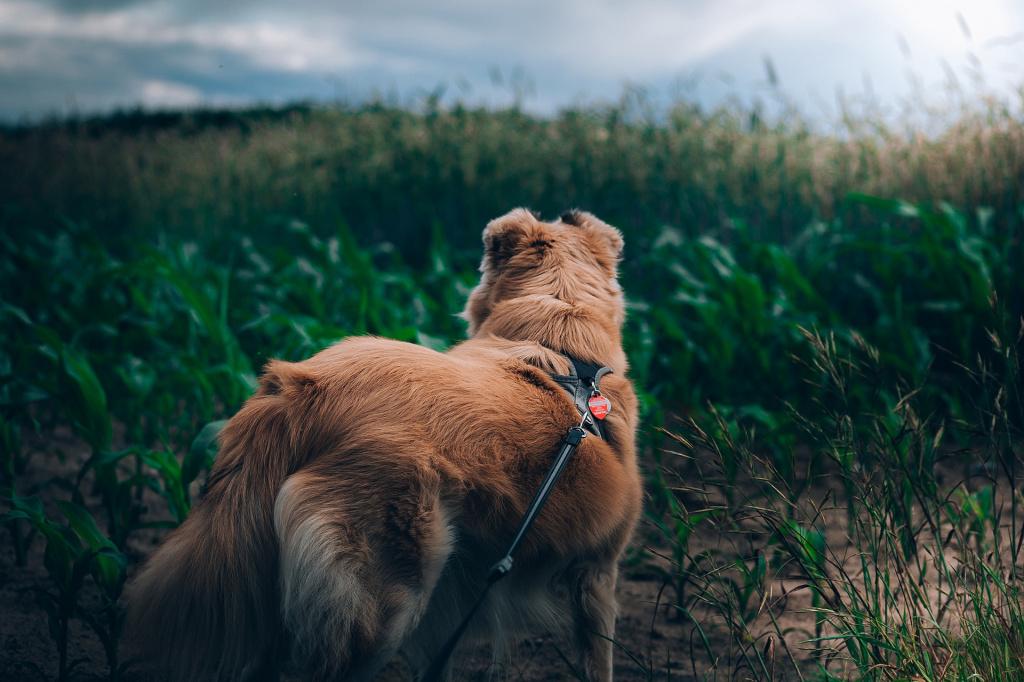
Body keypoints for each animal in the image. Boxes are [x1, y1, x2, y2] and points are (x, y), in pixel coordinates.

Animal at [125, 208, 638, 679]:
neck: (561, 336)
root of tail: (304, 390)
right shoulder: (596, 573)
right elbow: (599, 659)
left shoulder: (451, 604)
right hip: (385, 599)